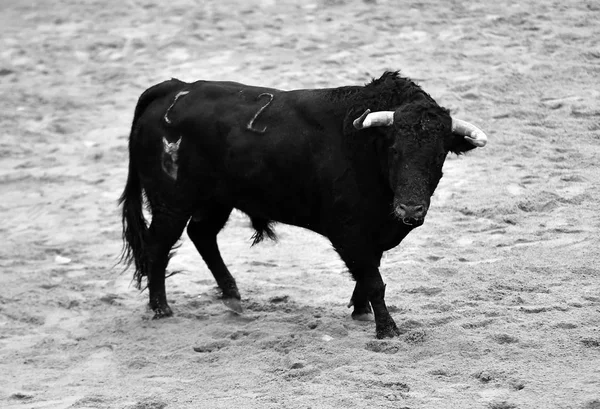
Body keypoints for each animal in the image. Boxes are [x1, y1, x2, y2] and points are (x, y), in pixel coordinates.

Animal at [118, 71, 488, 338]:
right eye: (395, 149)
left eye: (439, 155)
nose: (409, 211)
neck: (367, 151)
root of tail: (173, 88)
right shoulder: (349, 230)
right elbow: (373, 278)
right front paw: (387, 330)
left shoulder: (374, 231)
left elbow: (368, 272)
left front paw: (360, 311)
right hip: (171, 203)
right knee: (158, 246)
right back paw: (161, 309)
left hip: (215, 200)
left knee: (202, 235)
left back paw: (232, 297)